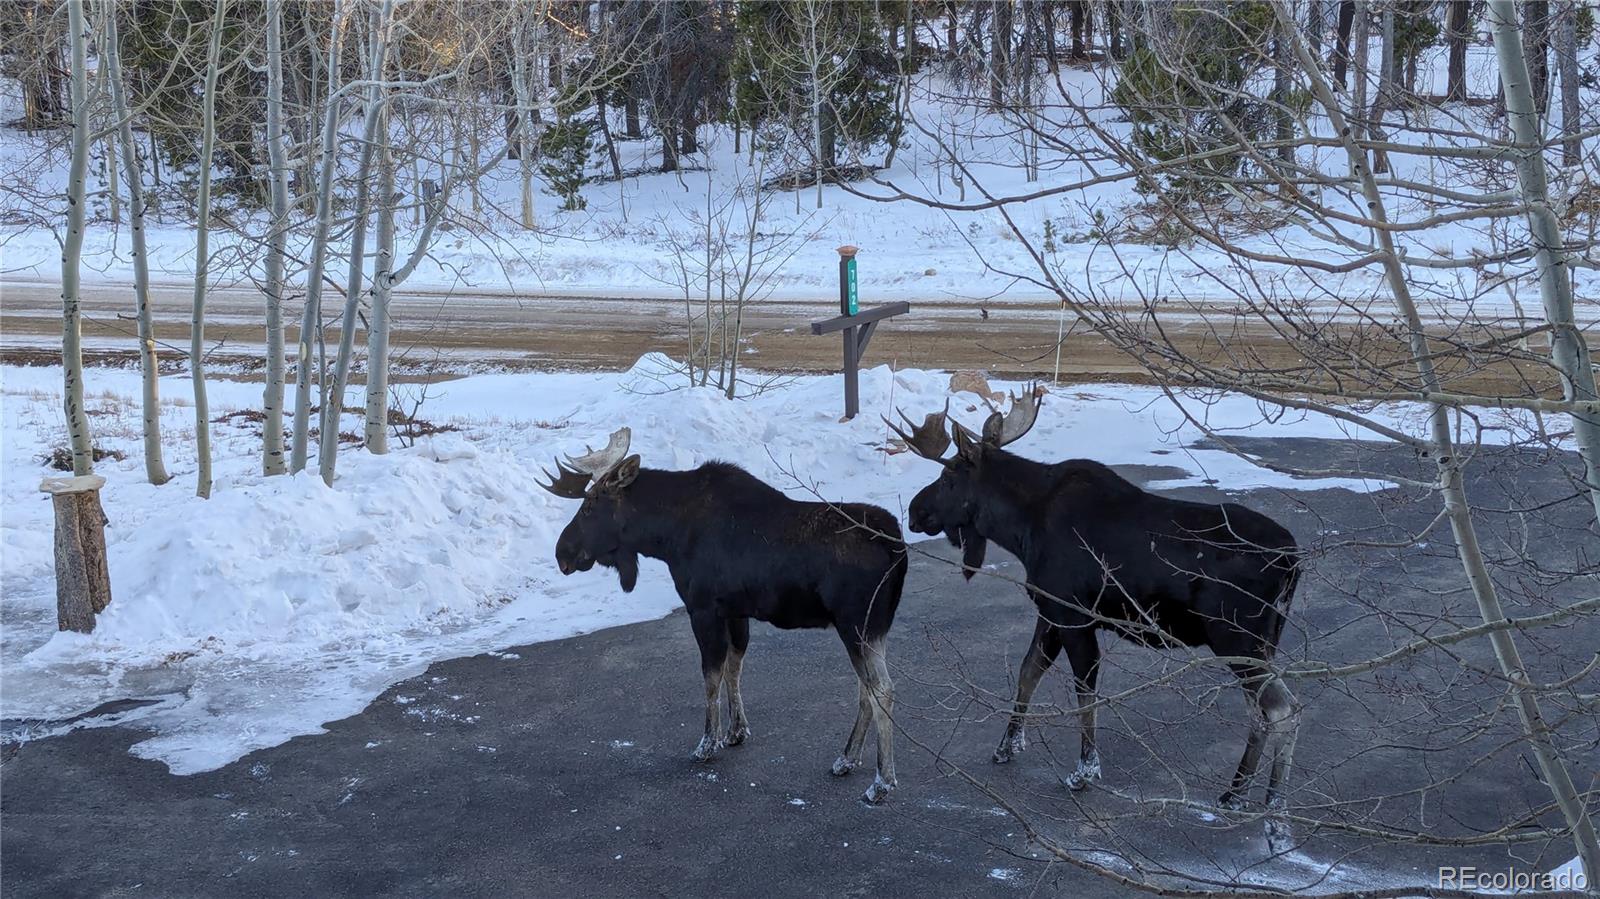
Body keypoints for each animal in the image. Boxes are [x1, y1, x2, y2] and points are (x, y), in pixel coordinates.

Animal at [544, 422, 908, 799]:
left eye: (589, 506)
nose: (562, 553)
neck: (665, 537)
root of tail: (897, 548)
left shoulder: (703, 608)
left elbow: (710, 678)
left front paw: (707, 744)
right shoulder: (736, 611)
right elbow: (735, 668)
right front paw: (736, 731)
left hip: (856, 623)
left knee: (882, 688)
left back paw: (882, 780)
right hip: (873, 626)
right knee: (866, 688)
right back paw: (847, 758)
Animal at [889, 387, 1299, 844]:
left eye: (949, 476)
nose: (914, 512)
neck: (1019, 529)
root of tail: (1293, 559)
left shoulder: (1073, 615)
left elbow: (1084, 687)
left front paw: (1084, 771)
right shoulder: (1050, 611)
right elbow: (1028, 672)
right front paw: (1007, 746)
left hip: (1238, 637)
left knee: (1283, 710)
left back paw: (1275, 811)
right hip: (1261, 641)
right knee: (1260, 712)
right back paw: (1235, 794)